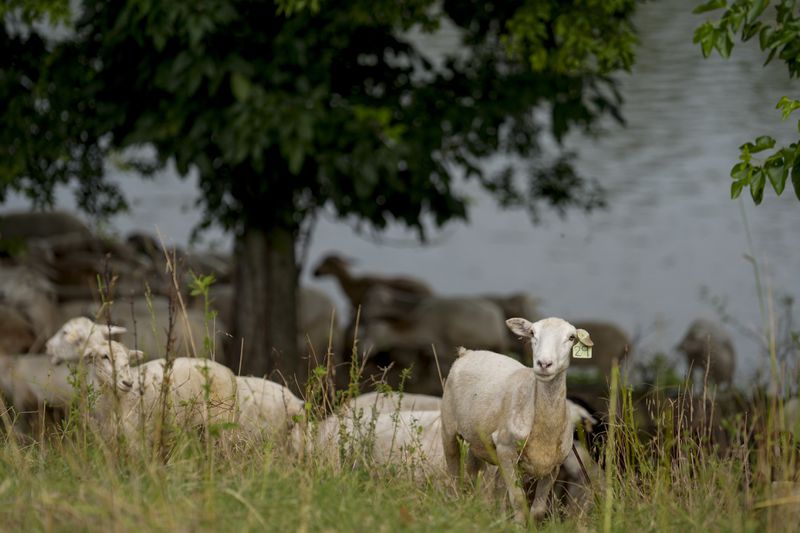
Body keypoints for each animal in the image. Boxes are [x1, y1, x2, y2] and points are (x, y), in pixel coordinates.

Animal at [440, 316, 592, 524]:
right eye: (532, 333)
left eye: (571, 337)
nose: (544, 363)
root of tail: (467, 353)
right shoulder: (506, 449)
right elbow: (519, 500)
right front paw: (517, 526)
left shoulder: (553, 466)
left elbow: (538, 509)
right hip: (449, 427)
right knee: (454, 473)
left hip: (479, 440)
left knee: (476, 475)